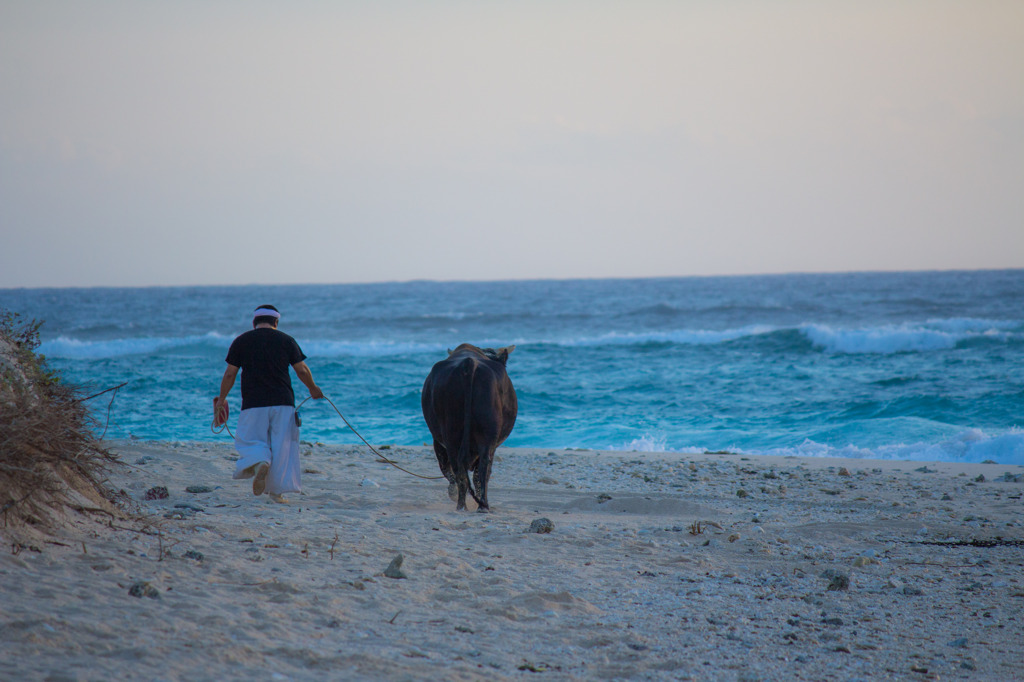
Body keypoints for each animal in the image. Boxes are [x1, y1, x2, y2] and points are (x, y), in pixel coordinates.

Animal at [421, 339, 520, 509]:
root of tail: (468, 364)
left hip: (453, 434)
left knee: (460, 468)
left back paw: (464, 505)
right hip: (482, 435)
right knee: (480, 470)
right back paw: (477, 505)